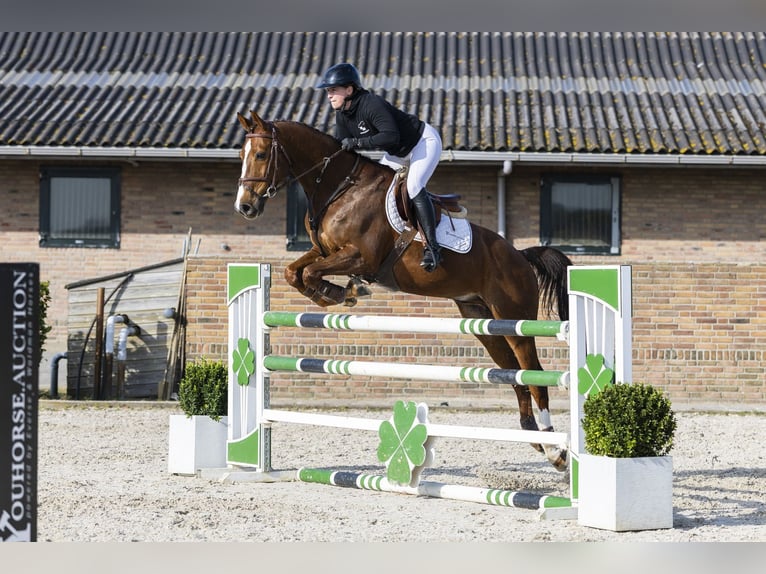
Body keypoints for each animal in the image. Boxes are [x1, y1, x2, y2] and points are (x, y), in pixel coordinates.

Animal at [234, 110, 573, 471]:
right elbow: (294, 272)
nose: (245, 207)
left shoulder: (360, 256)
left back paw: (556, 450)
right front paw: (335, 293)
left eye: (260, 155)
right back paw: (536, 439)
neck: (339, 188)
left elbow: (311, 272)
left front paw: (344, 292)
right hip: (484, 323)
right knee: (515, 375)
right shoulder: (324, 251)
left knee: (535, 375)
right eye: (241, 155)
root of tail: (520, 255)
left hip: (515, 320)